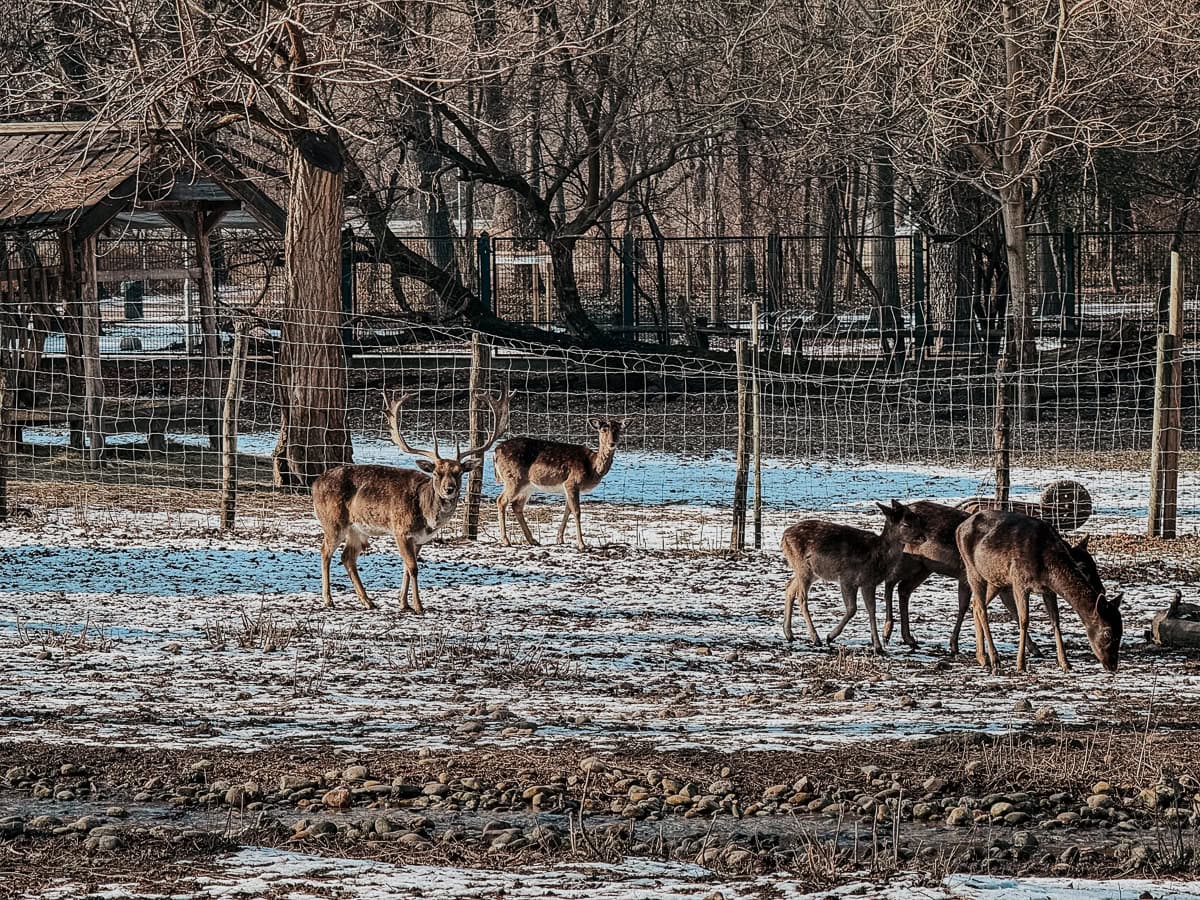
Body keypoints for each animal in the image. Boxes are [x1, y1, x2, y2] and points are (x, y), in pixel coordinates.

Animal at [312, 393, 508, 614]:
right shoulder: (401, 530)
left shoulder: (420, 539)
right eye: (436, 472)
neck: (426, 516)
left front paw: (403, 603)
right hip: (333, 522)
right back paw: (328, 600)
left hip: (358, 530)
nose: (449, 489)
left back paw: (368, 601)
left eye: (459, 472)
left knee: (347, 557)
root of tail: (315, 483)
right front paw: (418, 606)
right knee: (325, 551)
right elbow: (413, 568)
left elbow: (407, 568)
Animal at [492, 420, 633, 554]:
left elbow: (568, 510)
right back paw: (506, 540)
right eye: (603, 429)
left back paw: (533, 540)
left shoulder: (568, 488)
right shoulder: (572, 482)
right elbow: (577, 511)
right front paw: (582, 545)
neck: (592, 467)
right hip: (513, 479)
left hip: (527, 486)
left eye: (618, 429)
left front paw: (560, 539)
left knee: (517, 505)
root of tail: (496, 452)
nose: (612, 443)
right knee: (501, 500)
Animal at [777, 501, 926, 657]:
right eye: (906, 524)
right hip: (802, 566)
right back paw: (815, 638)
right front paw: (830, 636)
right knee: (801, 597)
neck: (877, 557)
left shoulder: (868, 583)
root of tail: (783, 537)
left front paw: (877, 645)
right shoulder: (847, 578)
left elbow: (871, 609)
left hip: (811, 572)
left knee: (789, 587)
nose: (923, 537)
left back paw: (789, 634)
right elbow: (852, 608)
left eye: (917, 519)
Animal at [950, 511, 1118, 672]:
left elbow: (1055, 620)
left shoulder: (1048, 590)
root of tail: (958, 529)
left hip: (995, 578)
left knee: (976, 605)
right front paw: (1020, 665)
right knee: (982, 608)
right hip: (972, 569)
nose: (1113, 664)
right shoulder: (1019, 581)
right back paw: (994, 659)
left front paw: (1065, 663)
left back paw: (981, 657)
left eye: (1120, 630)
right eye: (1107, 633)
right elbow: (1024, 620)